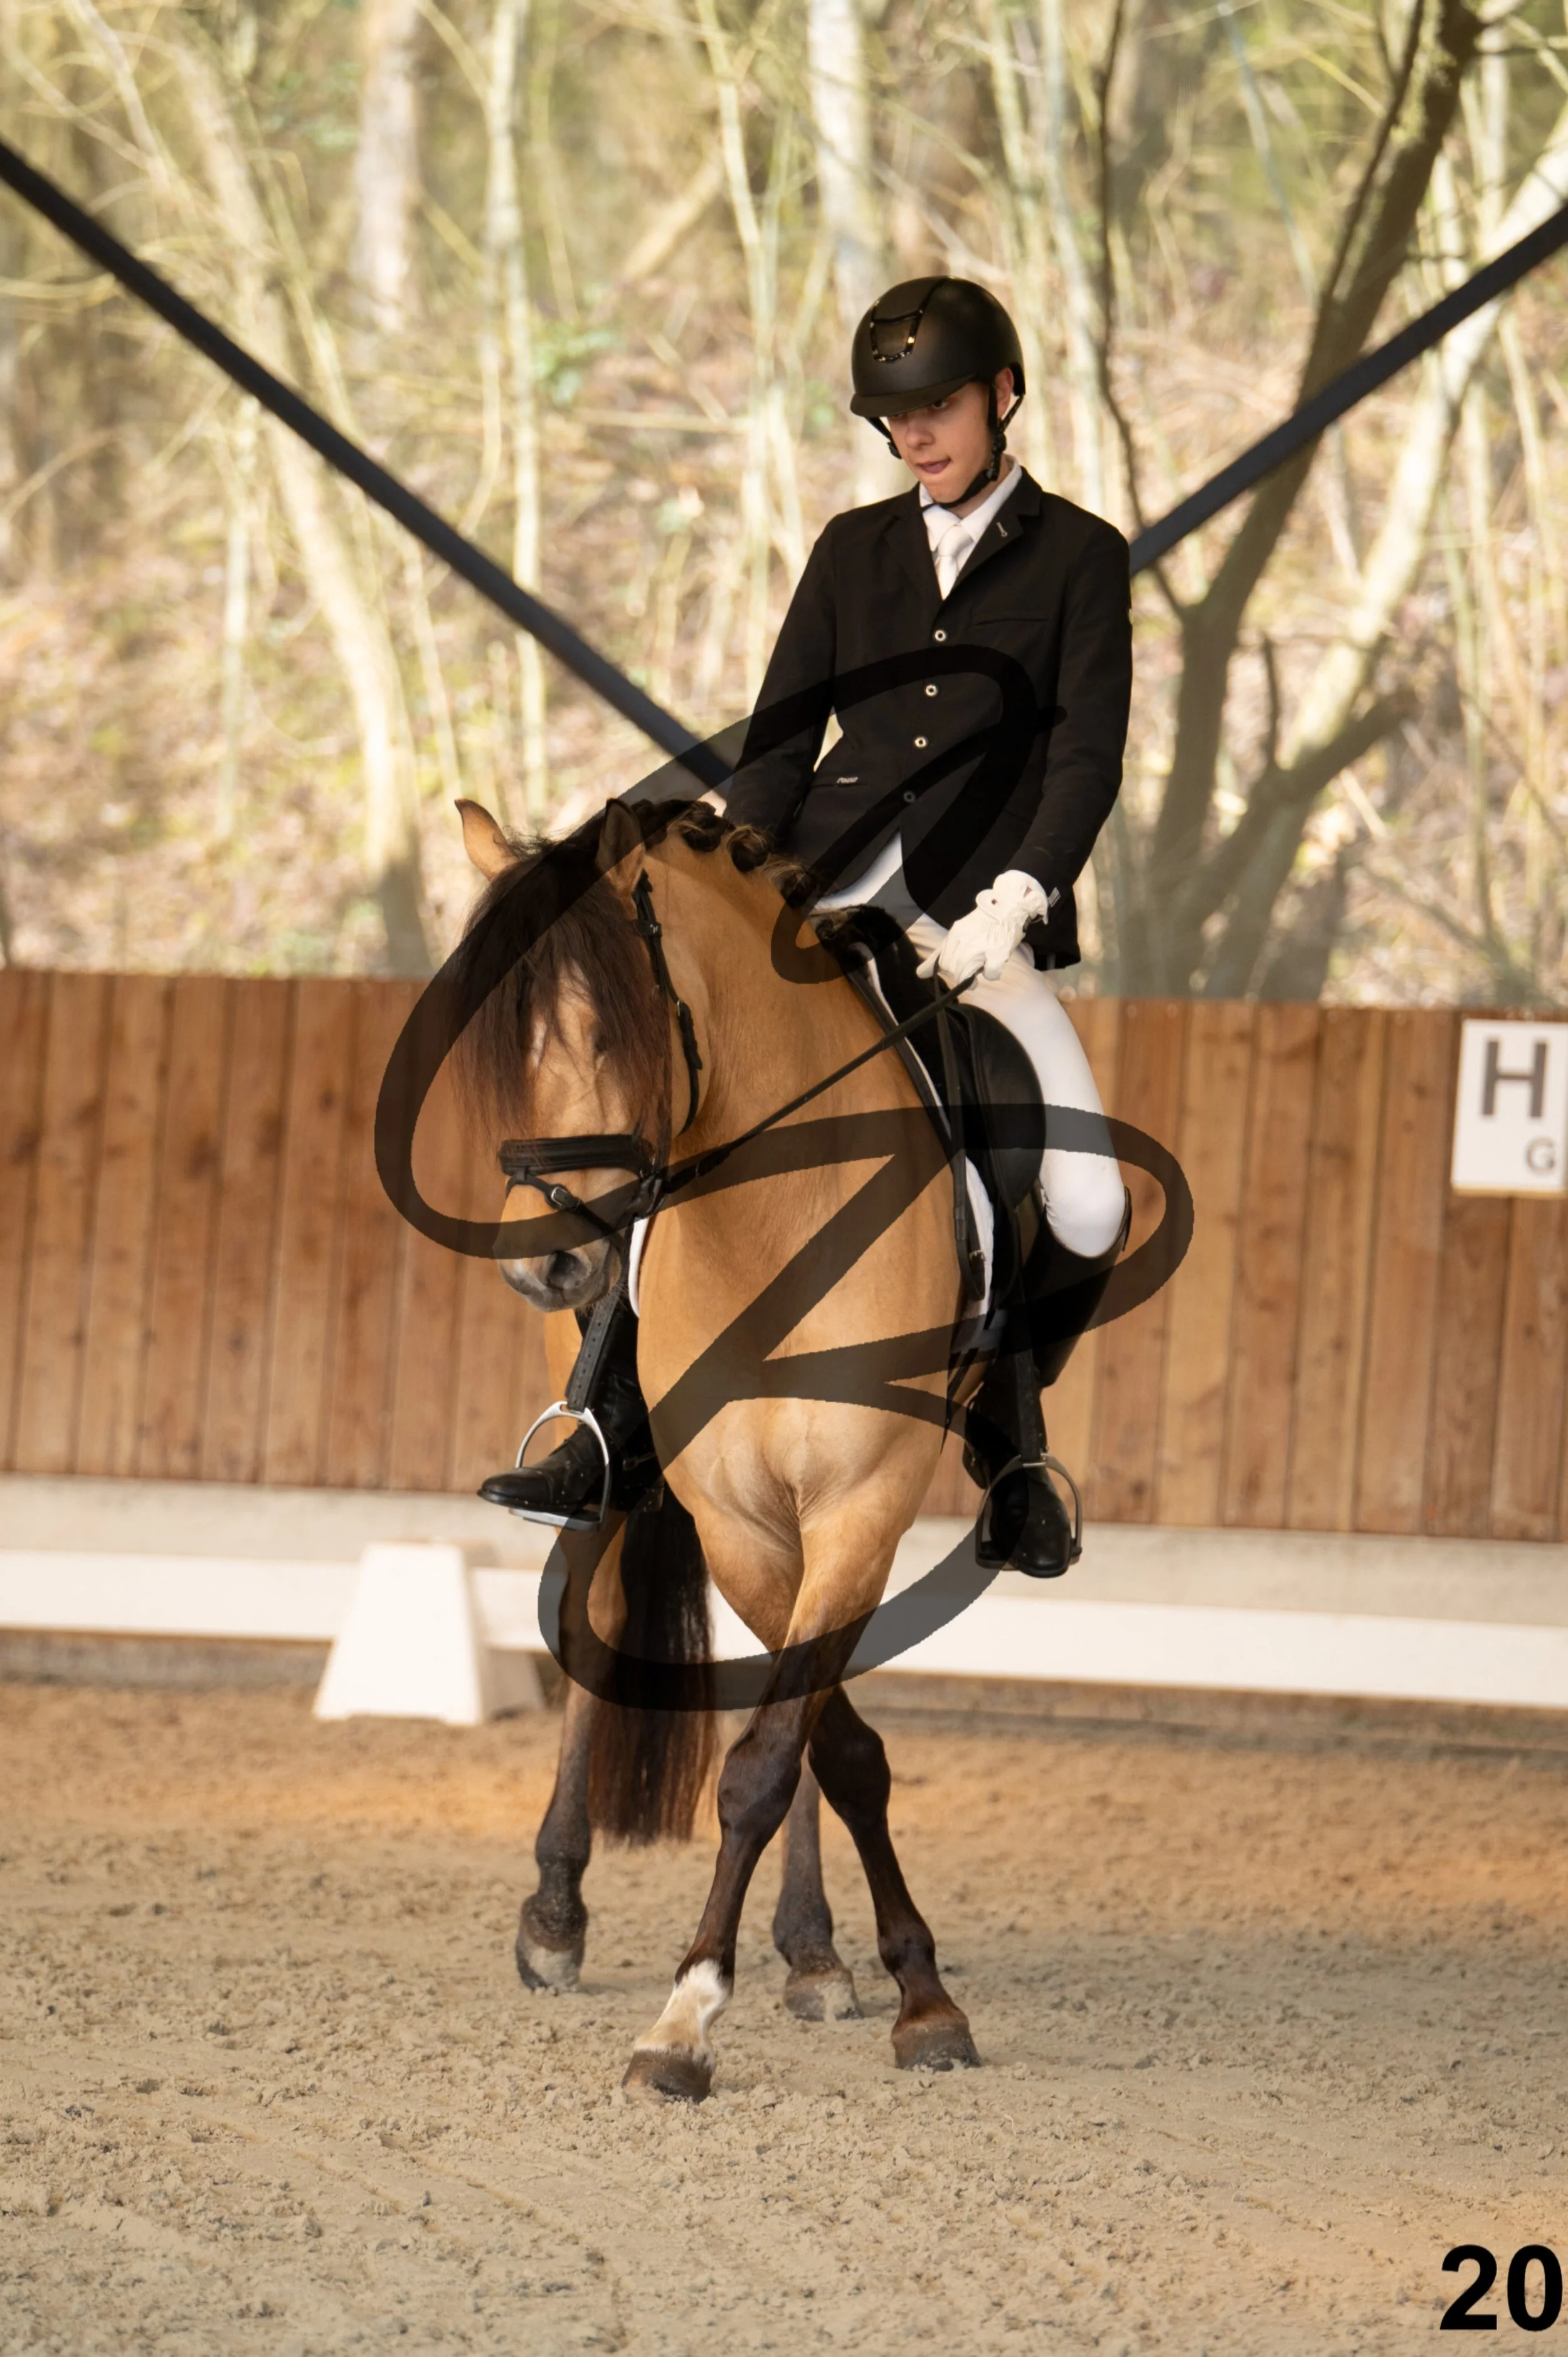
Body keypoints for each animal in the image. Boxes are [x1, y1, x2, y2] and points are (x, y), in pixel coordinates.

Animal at [454, 790, 983, 2100]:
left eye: (607, 1027)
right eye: (497, 1043)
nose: (547, 1263)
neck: (773, 1221)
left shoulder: (853, 1504)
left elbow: (795, 1747)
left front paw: (899, 1989)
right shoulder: (737, 1517)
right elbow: (810, 1742)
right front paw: (692, 2010)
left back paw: (811, 1950)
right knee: (591, 1616)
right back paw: (556, 1913)